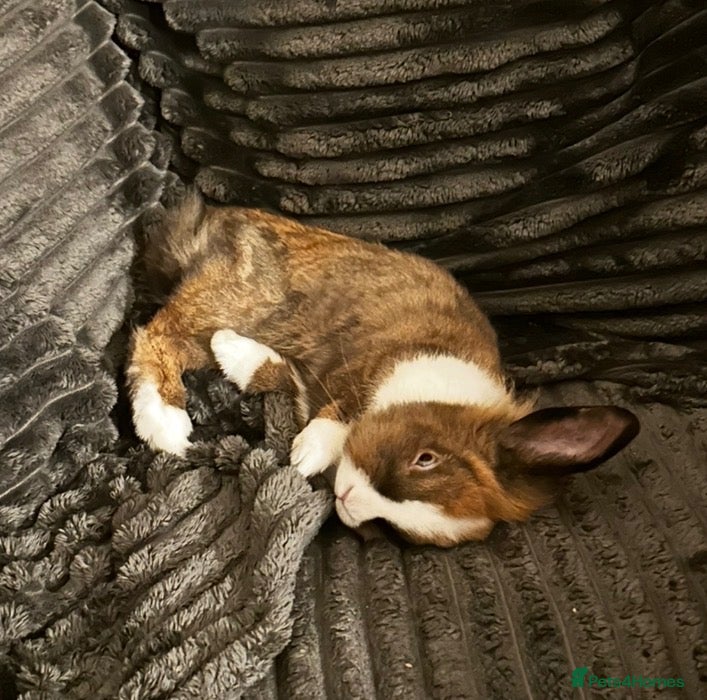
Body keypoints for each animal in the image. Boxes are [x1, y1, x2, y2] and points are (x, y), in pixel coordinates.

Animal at [127, 192, 639, 547]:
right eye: (425, 459)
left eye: (400, 534)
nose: (348, 500)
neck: (430, 391)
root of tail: (213, 222)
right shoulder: (361, 361)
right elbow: (342, 406)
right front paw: (307, 453)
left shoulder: (310, 380)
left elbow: (281, 376)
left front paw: (240, 365)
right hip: (237, 299)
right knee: (153, 336)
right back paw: (166, 425)